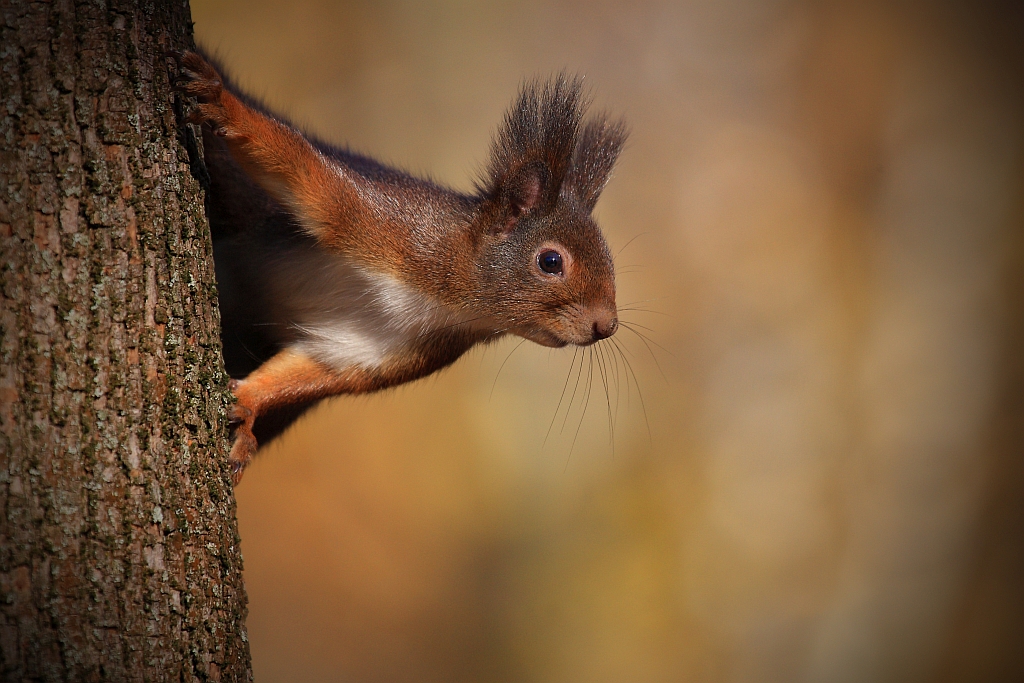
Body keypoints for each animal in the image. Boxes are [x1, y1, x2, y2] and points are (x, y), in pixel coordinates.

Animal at [169, 50, 622, 483]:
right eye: (550, 261)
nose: (606, 325)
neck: (447, 299)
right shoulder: (381, 220)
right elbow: (301, 168)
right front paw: (220, 101)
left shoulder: (377, 349)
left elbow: (304, 371)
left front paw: (246, 403)